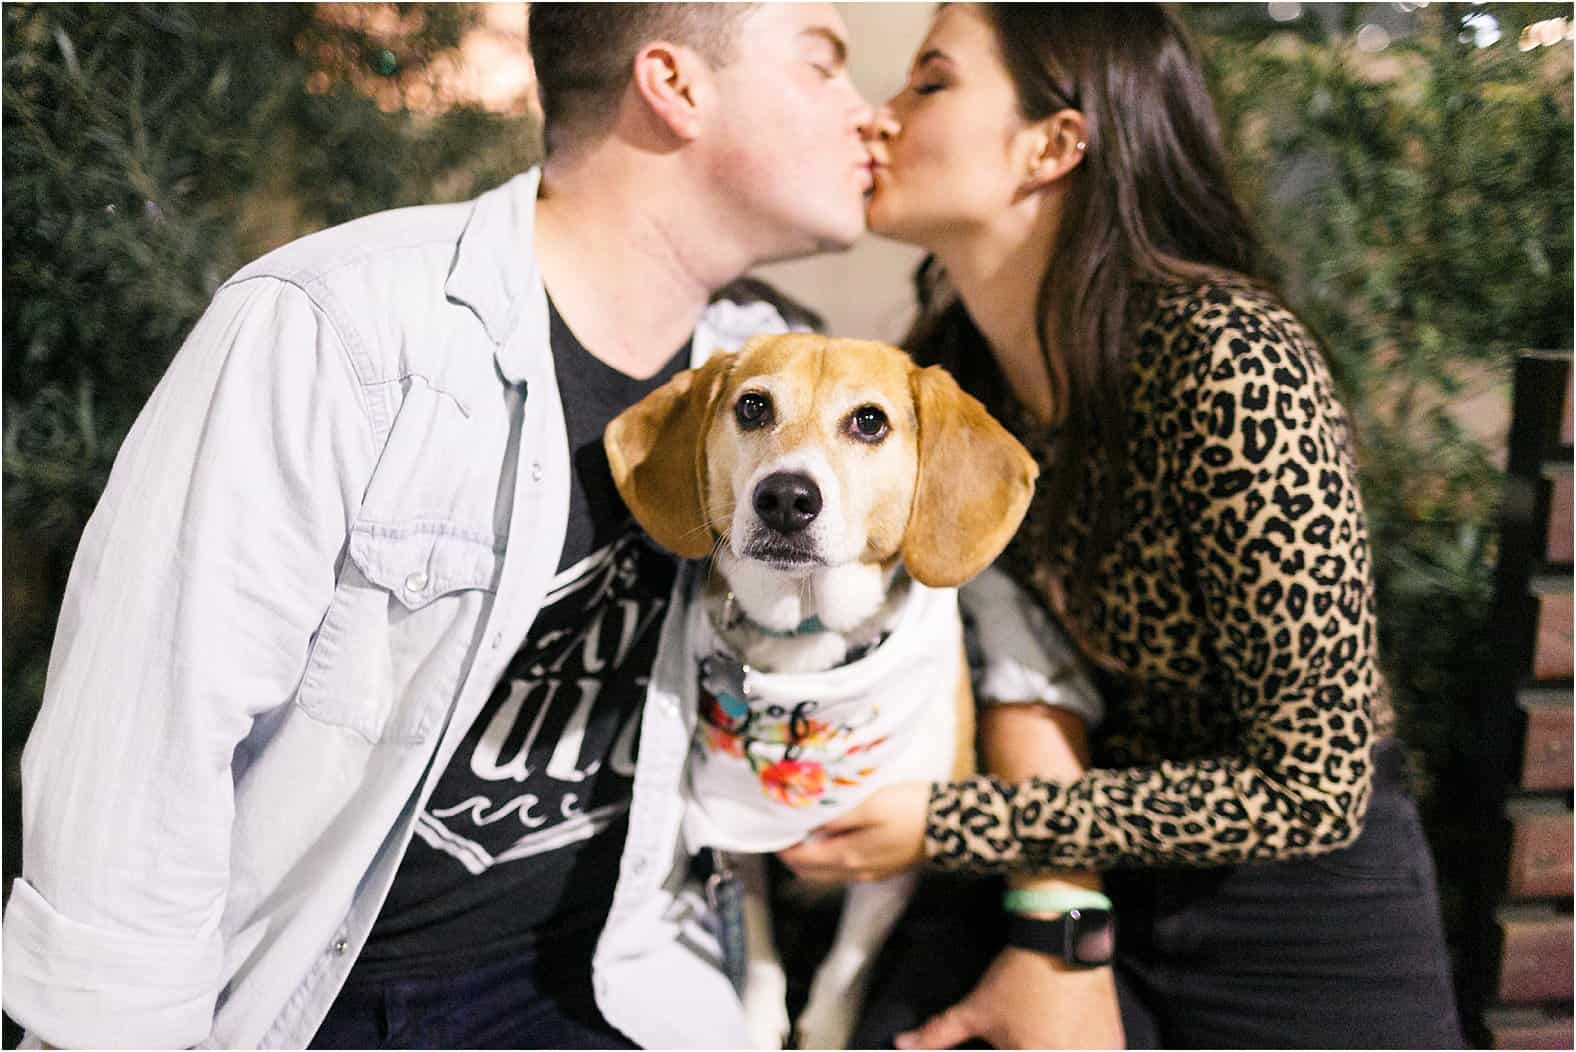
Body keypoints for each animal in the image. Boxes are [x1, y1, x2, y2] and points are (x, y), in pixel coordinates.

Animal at [602, 332, 1033, 1045]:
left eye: (869, 421)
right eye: (753, 407)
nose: (784, 496)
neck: (806, 638)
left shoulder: (888, 866)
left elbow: (843, 972)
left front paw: (824, 1033)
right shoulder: (735, 853)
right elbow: (757, 954)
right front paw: (754, 1027)